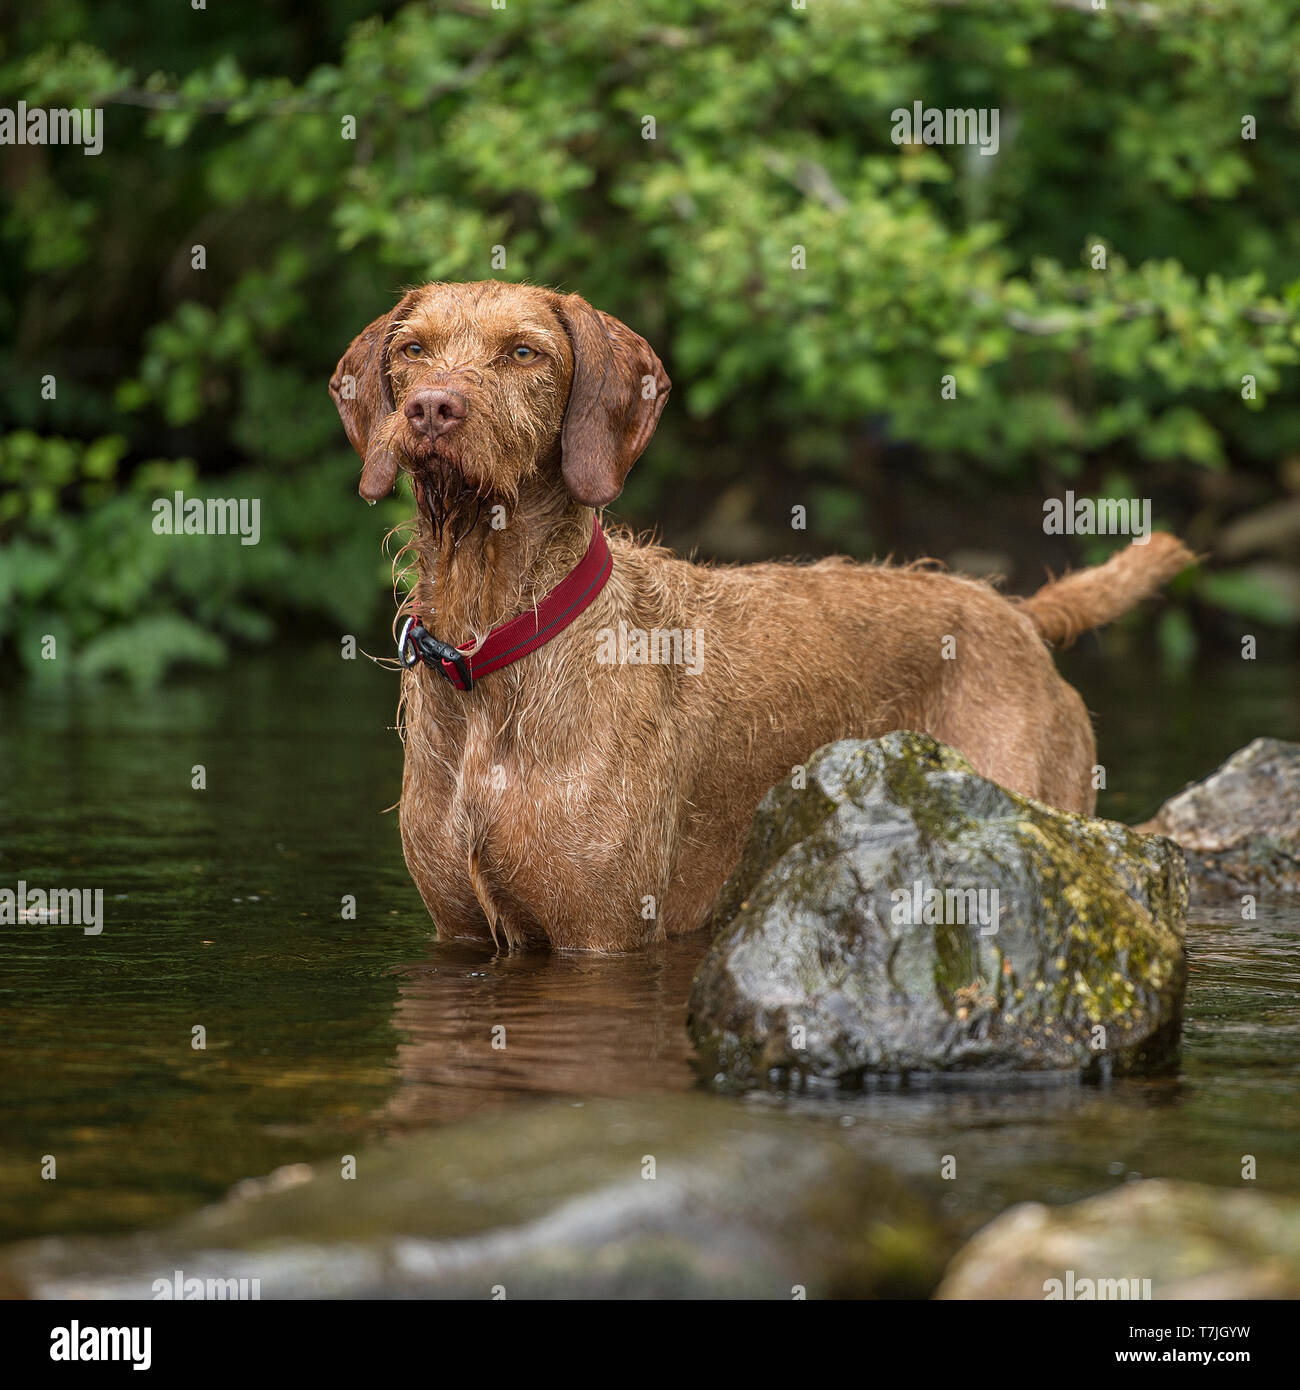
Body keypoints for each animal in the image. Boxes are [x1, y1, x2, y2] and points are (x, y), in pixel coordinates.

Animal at [330, 282, 1195, 956]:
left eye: (523, 353)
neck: (490, 643)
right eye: (412, 348)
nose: (431, 408)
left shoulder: (604, 933)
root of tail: (1014, 612)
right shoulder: (458, 929)